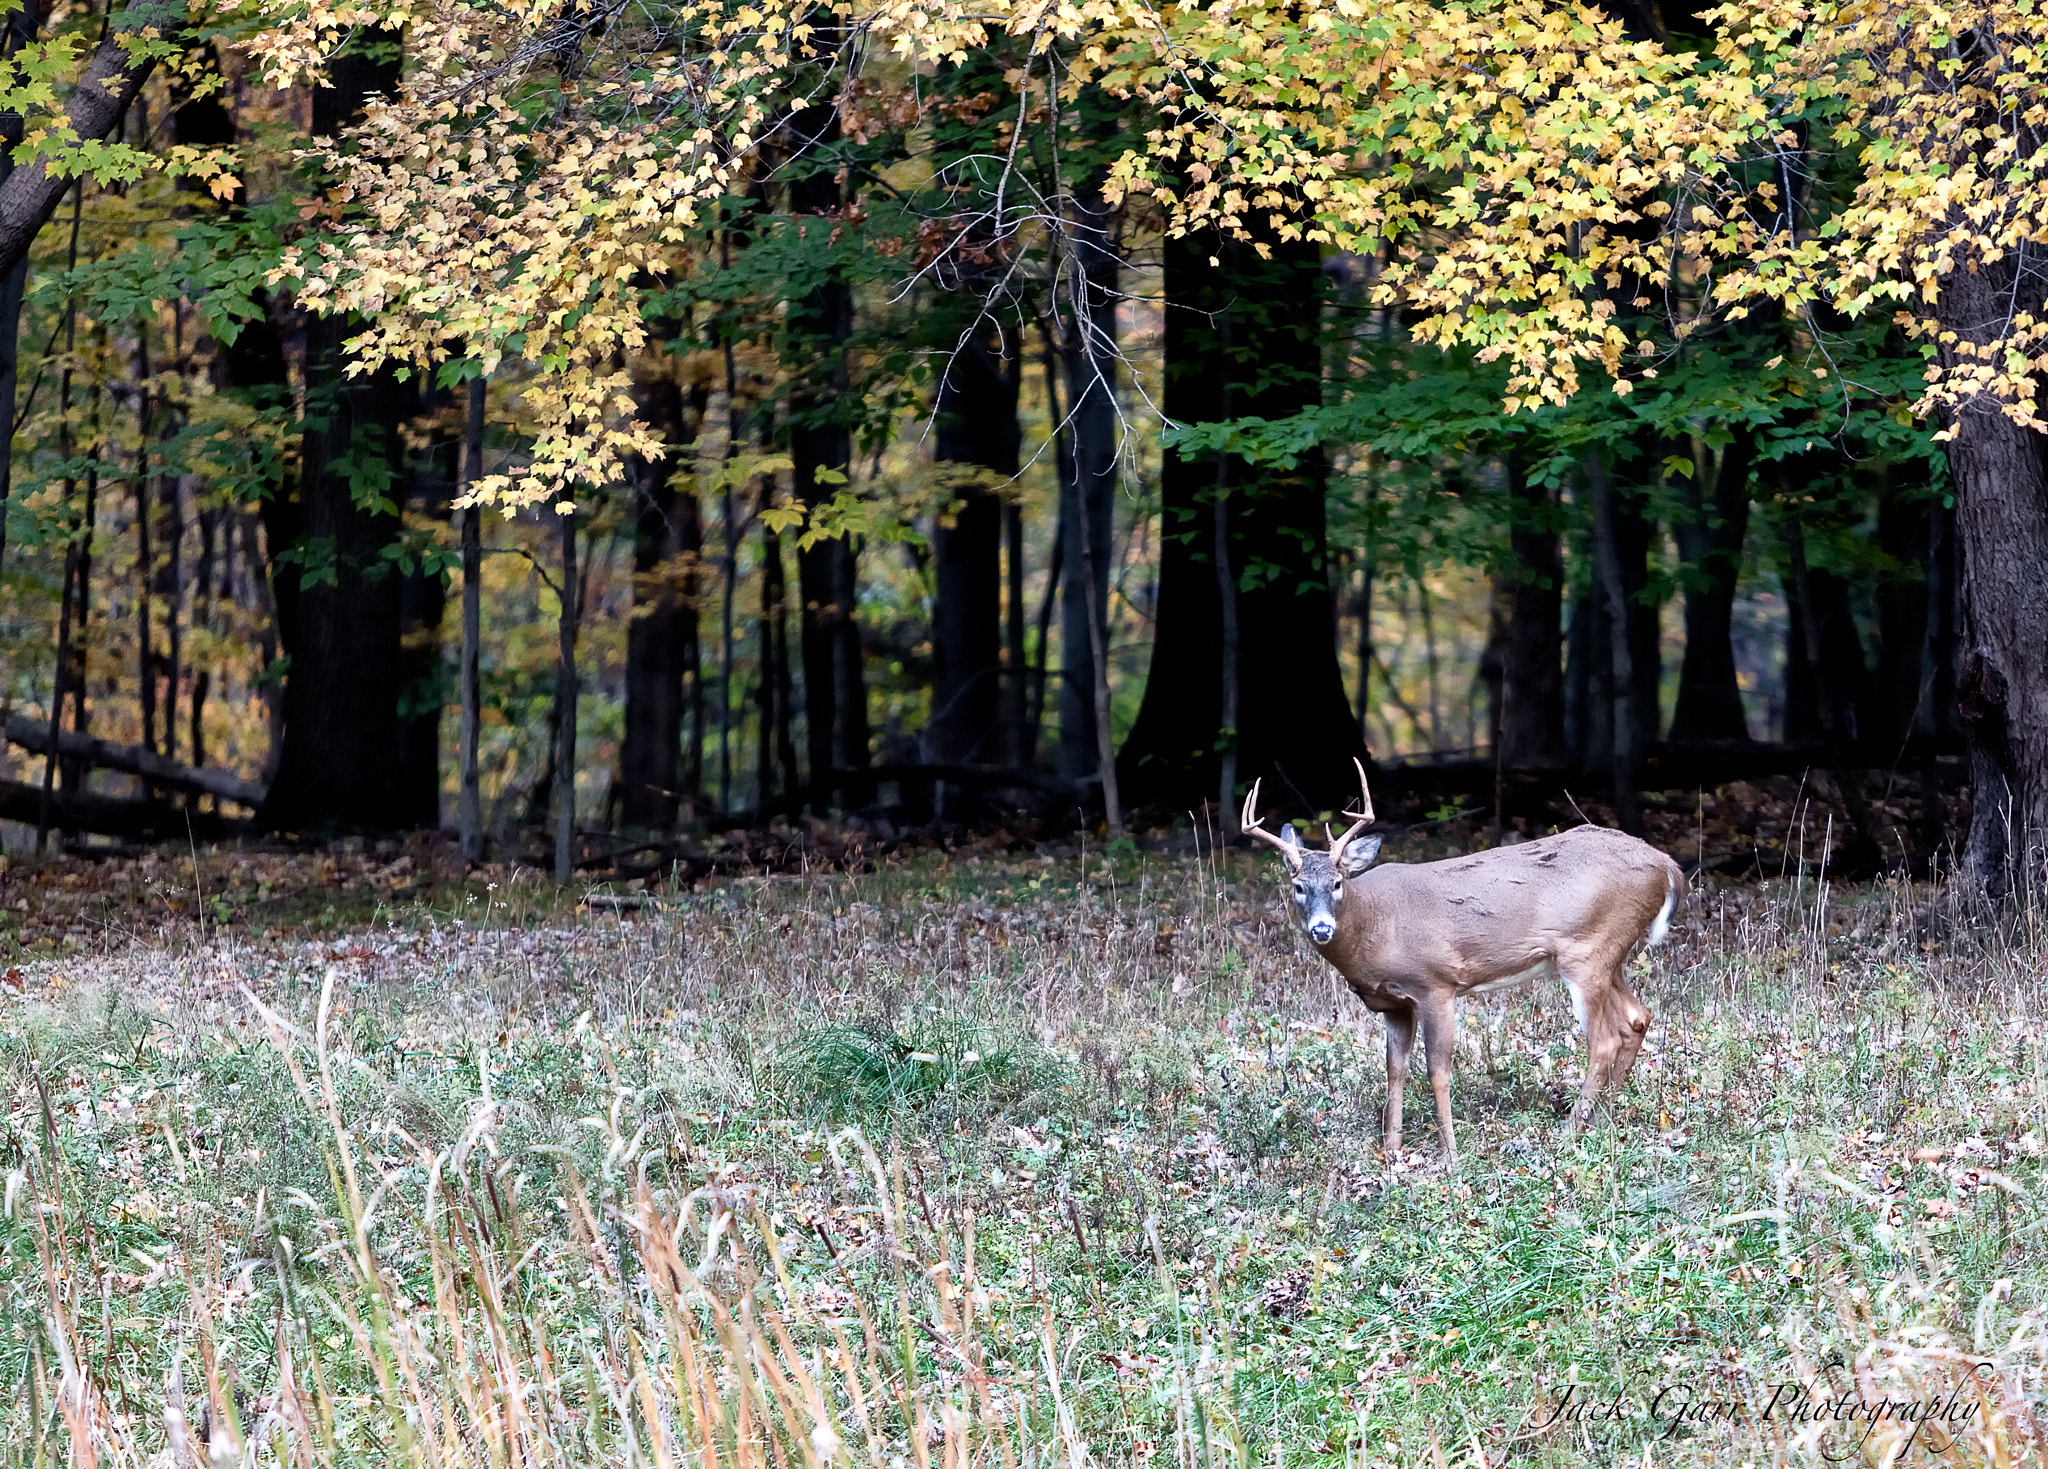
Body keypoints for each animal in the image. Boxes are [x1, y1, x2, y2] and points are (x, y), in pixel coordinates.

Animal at [1243, 761, 1685, 1164]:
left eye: (1337, 883)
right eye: (1298, 887)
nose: (1321, 928)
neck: (1375, 925)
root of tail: (1667, 865)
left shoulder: (1435, 984)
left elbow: (1437, 1072)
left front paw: (1450, 1156)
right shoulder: (1394, 1004)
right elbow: (1395, 1069)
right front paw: (1392, 1149)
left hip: (1587, 952)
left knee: (1604, 1040)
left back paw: (1571, 1130)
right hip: (1611, 955)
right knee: (1637, 1018)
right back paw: (1603, 1119)